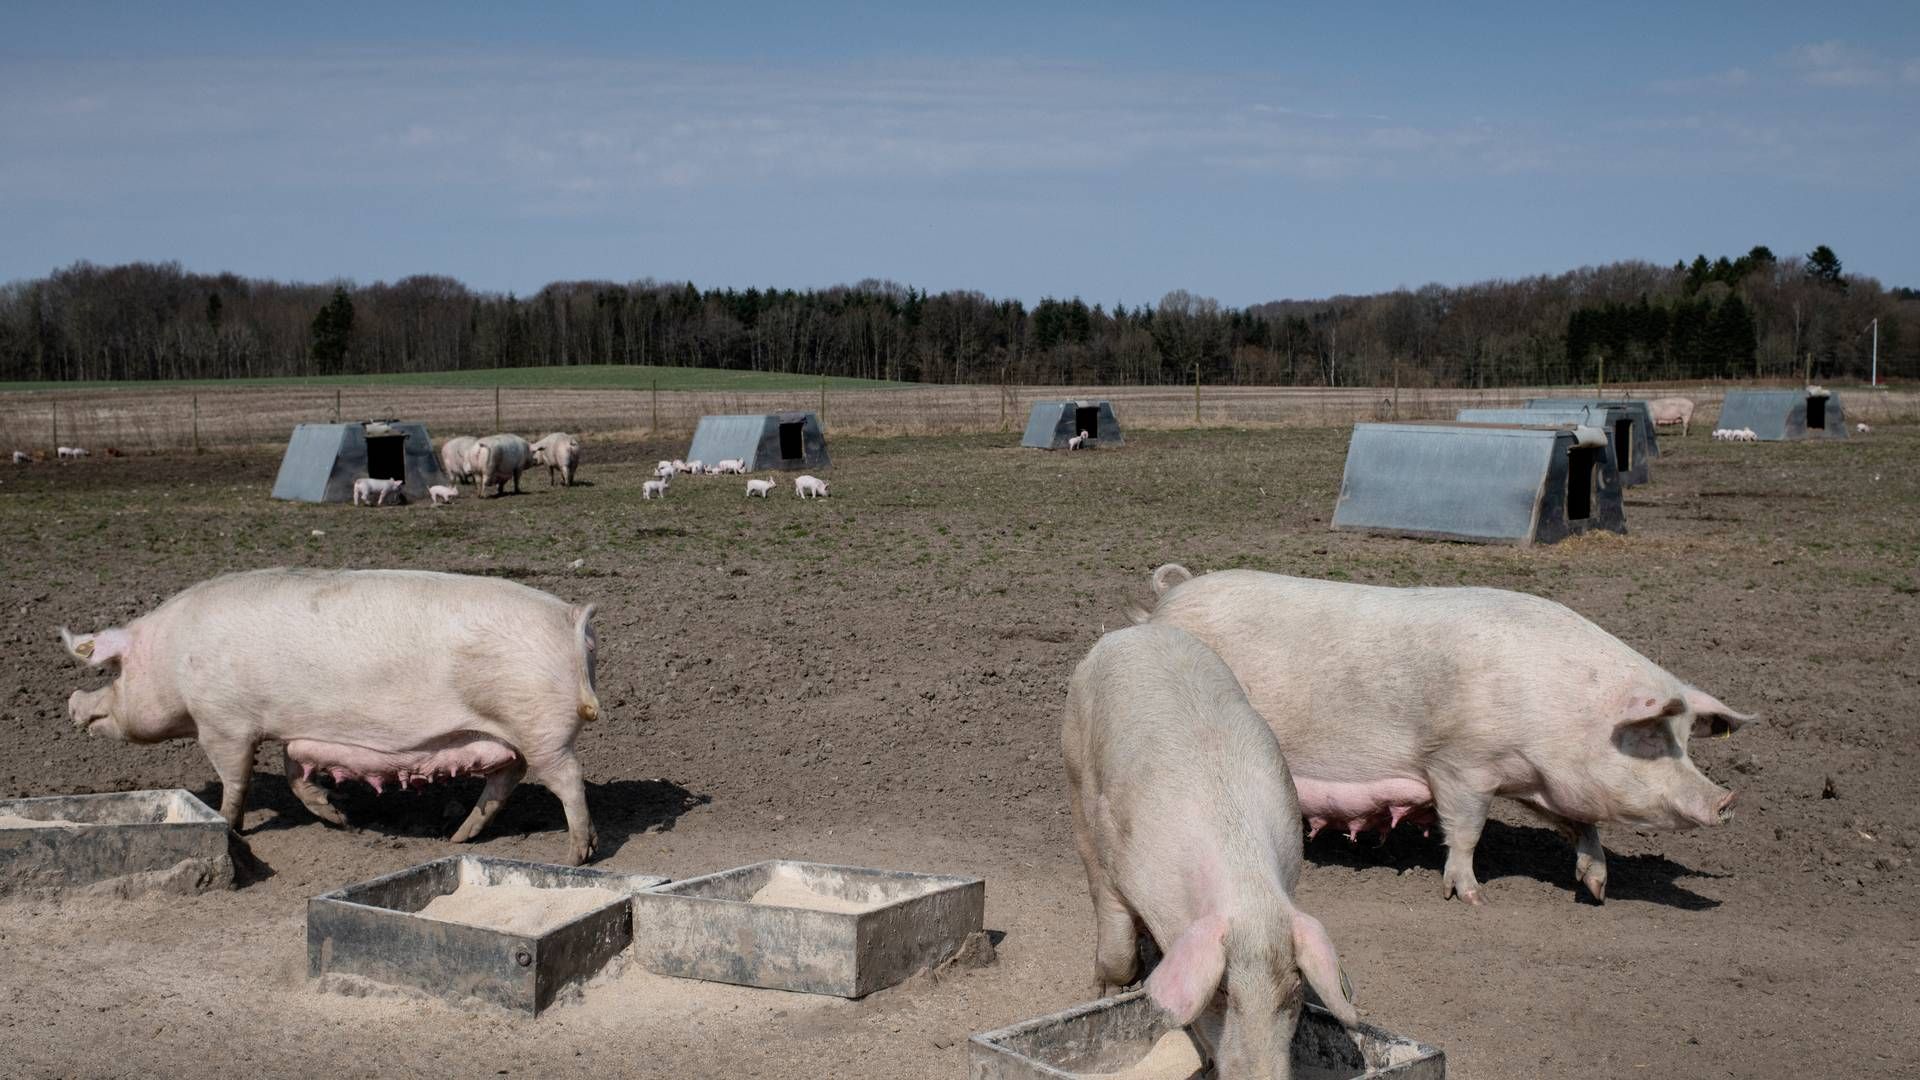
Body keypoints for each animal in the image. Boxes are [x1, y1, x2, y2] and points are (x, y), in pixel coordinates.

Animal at [1059, 618, 1359, 1068]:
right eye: (1223, 990)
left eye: (1292, 994)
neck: (1245, 883)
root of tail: (1136, 631)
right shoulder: (1117, 862)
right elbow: (1116, 945)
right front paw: (1108, 993)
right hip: (1074, 760)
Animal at [1136, 564, 1758, 899]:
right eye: (1651, 738)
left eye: (1687, 740)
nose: (1727, 799)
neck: (1560, 713)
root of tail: (1168, 600)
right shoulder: (1460, 764)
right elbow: (1465, 830)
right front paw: (1469, 895)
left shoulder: (1538, 781)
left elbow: (1581, 826)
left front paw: (1597, 888)